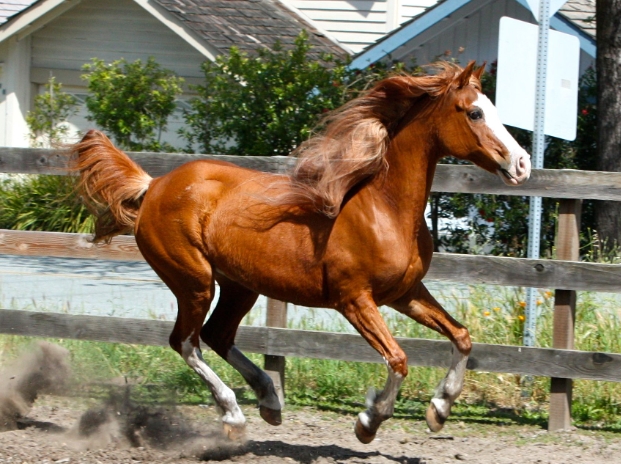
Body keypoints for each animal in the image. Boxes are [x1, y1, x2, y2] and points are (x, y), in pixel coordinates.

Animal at [72, 60, 528, 442]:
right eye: (474, 113)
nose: (522, 164)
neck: (384, 208)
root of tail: (154, 187)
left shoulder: (405, 293)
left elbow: (462, 337)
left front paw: (439, 409)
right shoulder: (355, 300)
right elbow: (398, 359)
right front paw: (369, 421)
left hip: (240, 286)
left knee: (217, 335)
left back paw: (270, 401)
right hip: (194, 281)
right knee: (186, 342)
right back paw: (234, 415)